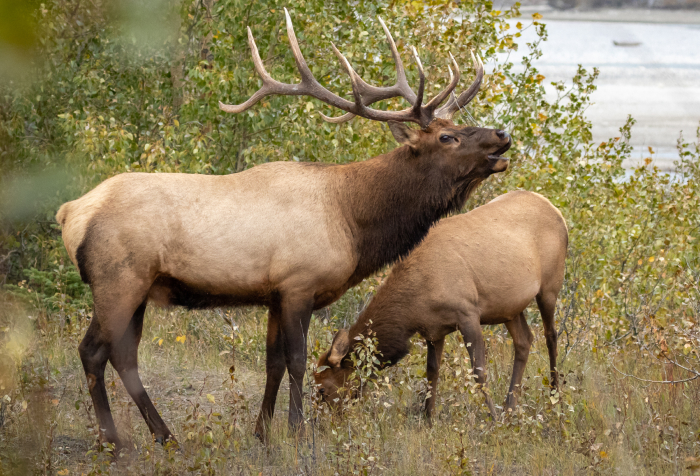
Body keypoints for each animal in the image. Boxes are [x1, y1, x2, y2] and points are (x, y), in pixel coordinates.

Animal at [55, 9, 512, 449]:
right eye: (447, 137)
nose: (502, 134)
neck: (353, 221)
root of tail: (70, 211)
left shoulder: (273, 293)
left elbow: (272, 362)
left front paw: (262, 433)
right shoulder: (298, 283)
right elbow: (297, 360)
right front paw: (297, 432)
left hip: (138, 288)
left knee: (122, 356)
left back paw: (158, 436)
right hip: (119, 280)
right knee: (94, 351)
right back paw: (120, 440)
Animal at [315, 190, 568, 422]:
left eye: (323, 389)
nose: (322, 422)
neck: (411, 308)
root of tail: (556, 210)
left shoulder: (468, 313)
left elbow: (478, 371)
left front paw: (492, 418)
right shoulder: (433, 330)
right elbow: (432, 371)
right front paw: (428, 418)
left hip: (549, 288)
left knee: (551, 335)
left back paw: (554, 396)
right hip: (509, 308)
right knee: (524, 340)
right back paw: (510, 406)